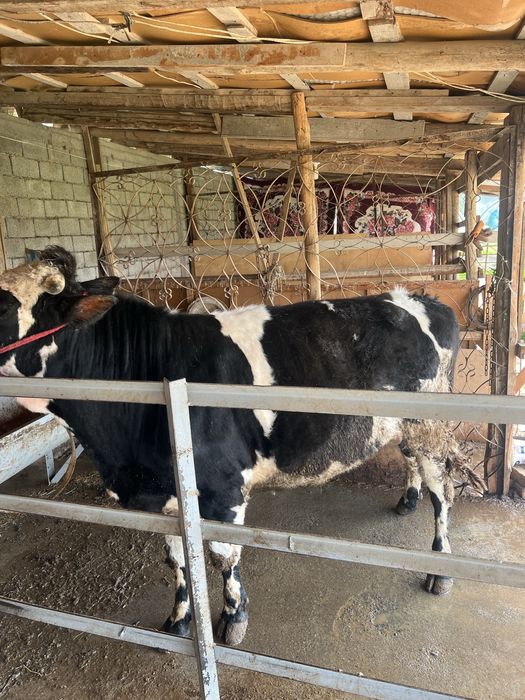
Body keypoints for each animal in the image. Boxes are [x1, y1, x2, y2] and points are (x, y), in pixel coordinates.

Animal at [0, 246, 461, 647]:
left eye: (3, 307)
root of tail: (421, 299)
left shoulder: (224, 486)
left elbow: (224, 555)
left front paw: (233, 618)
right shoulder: (160, 494)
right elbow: (176, 557)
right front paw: (179, 618)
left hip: (430, 425)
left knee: (442, 488)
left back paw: (440, 567)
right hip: (403, 425)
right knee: (412, 462)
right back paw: (407, 501)